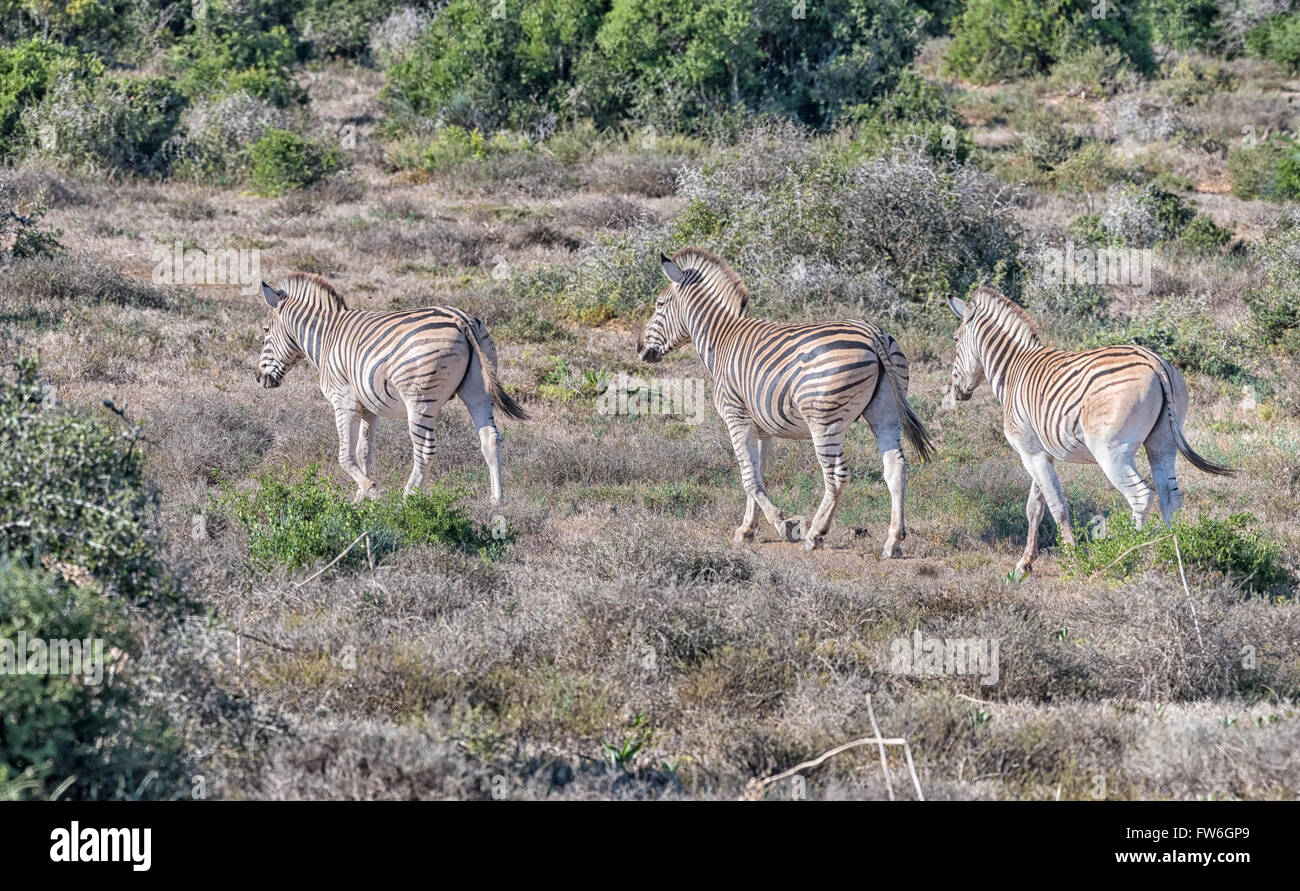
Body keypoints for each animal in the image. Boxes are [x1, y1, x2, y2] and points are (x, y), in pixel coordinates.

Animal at [255, 272, 528, 502]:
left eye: (266, 331)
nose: (259, 378)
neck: (326, 337)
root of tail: (461, 319)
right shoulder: (368, 407)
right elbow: (364, 452)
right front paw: (360, 500)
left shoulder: (343, 400)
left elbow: (345, 456)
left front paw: (372, 491)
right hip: (478, 390)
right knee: (490, 439)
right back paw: (497, 500)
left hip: (419, 400)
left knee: (425, 451)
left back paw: (405, 501)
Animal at [637, 248, 935, 556]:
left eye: (659, 304)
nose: (639, 348)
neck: (721, 340)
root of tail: (872, 334)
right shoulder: (761, 428)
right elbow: (757, 475)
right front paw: (748, 529)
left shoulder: (735, 416)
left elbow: (748, 478)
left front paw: (783, 525)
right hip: (885, 412)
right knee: (895, 468)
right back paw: (893, 541)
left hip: (823, 420)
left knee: (837, 475)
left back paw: (815, 534)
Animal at [947, 285, 1232, 576]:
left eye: (955, 339)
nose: (956, 392)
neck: (1014, 369)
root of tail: (1154, 361)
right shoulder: (1040, 453)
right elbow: (1035, 507)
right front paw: (1024, 563)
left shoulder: (1030, 453)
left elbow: (1057, 506)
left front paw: (1073, 559)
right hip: (1162, 444)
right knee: (1169, 497)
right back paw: (1173, 549)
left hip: (1111, 452)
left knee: (1141, 496)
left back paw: (1127, 555)